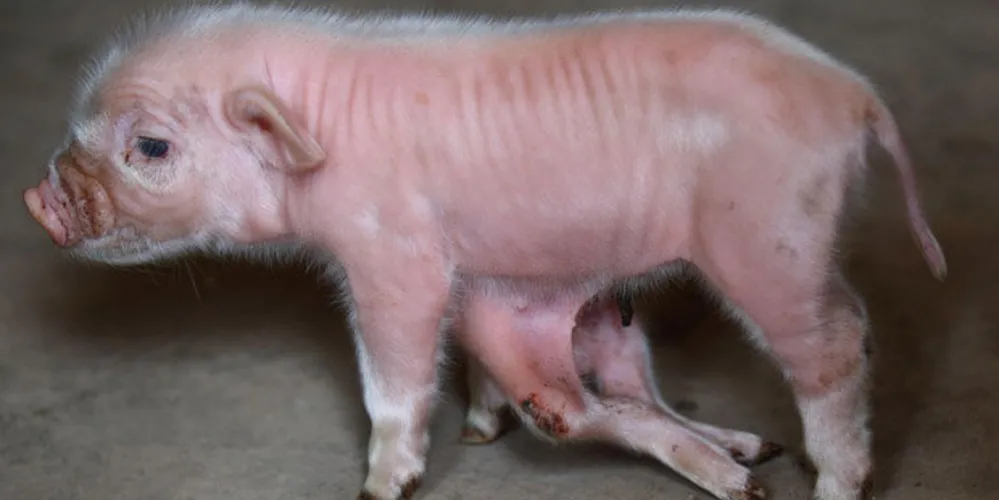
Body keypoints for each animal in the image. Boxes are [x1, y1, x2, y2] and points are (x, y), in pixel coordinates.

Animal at [22, 3, 947, 500]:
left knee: (836, 345)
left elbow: (392, 382)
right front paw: (477, 429)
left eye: (150, 147)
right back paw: (751, 457)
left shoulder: (391, 258)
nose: (37, 200)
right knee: (632, 396)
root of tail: (854, 94)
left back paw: (817, 483)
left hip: (770, 241)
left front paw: (378, 488)